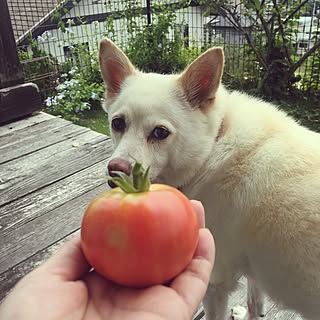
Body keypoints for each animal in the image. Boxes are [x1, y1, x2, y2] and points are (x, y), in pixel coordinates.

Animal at [99, 38, 320, 320]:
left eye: (160, 133)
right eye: (118, 123)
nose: (115, 172)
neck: (214, 143)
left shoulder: (214, 282)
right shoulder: (253, 273)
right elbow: (255, 303)